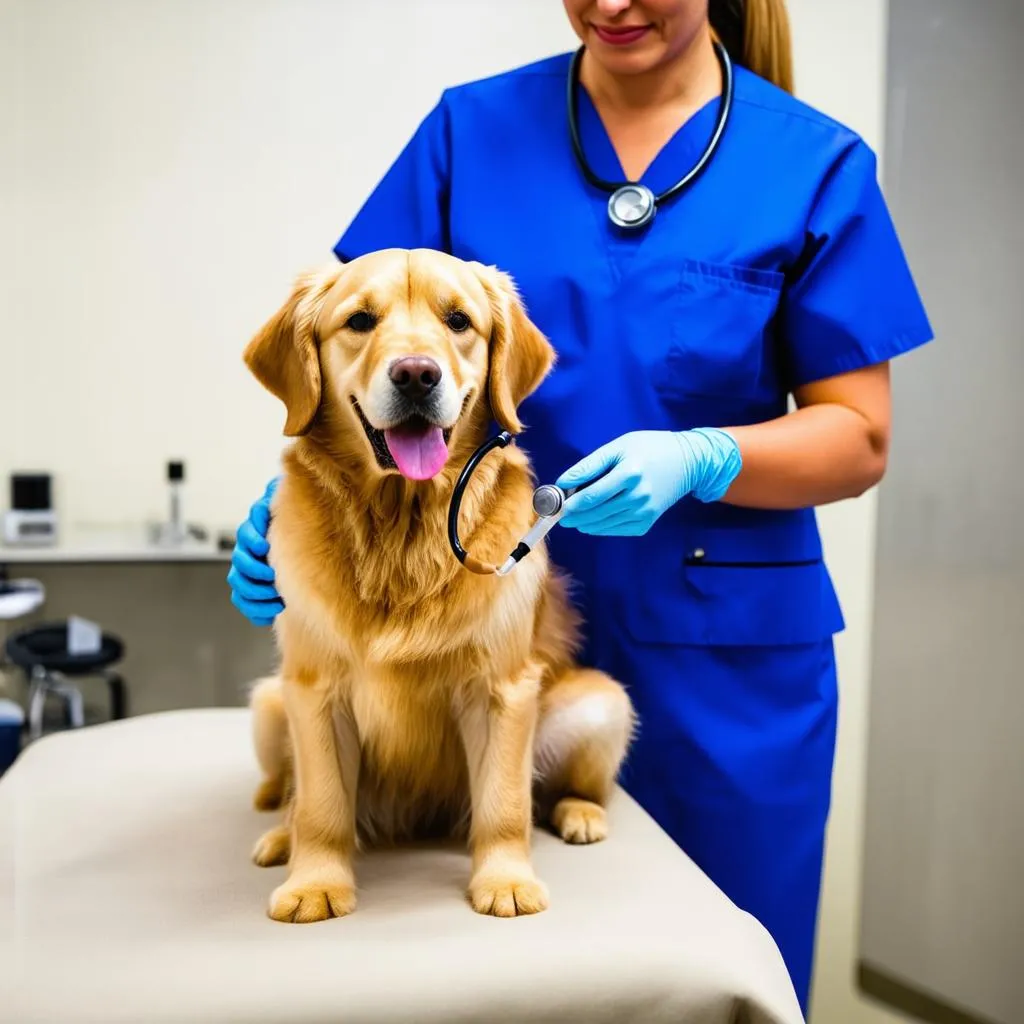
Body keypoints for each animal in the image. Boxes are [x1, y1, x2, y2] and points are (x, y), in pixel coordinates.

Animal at [244, 249, 634, 929]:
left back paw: (580, 814)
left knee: (570, 789)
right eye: (360, 320)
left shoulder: (503, 689)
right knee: (287, 793)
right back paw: (279, 835)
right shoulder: (314, 690)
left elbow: (504, 804)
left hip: (601, 702)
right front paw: (315, 882)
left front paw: (505, 880)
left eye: (458, 321)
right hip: (269, 702)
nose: (416, 374)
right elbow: (320, 805)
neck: (402, 527)